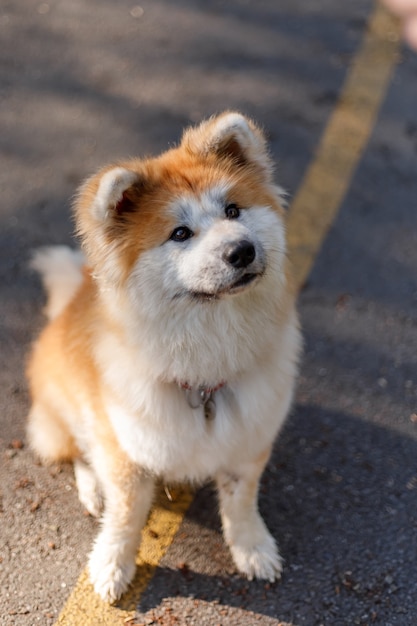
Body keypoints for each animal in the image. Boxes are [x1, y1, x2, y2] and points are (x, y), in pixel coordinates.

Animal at [25, 112, 300, 600]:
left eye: (234, 211)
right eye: (180, 234)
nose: (241, 250)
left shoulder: (248, 442)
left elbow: (241, 504)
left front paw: (252, 548)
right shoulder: (126, 450)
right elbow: (125, 518)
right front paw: (113, 565)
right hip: (62, 416)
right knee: (78, 451)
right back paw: (93, 488)